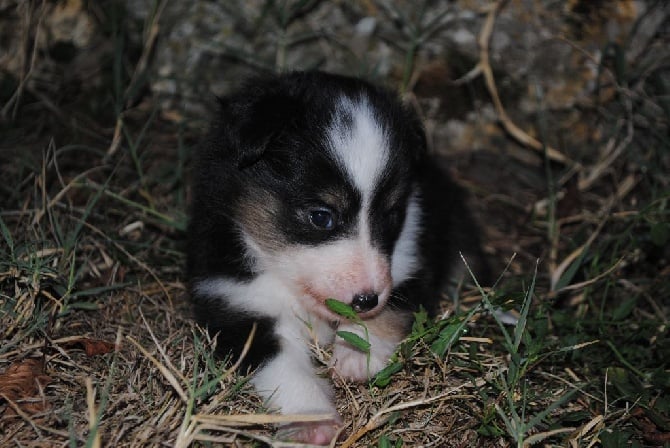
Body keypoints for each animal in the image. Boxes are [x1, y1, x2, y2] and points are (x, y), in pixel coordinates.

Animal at [186, 71, 490, 444]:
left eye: (390, 215)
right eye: (321, 216)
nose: (366, 300)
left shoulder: (413, 260)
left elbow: (395, 305)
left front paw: (358, 354)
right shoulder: (239, 303)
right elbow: (282, 367)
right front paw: (312, 422)